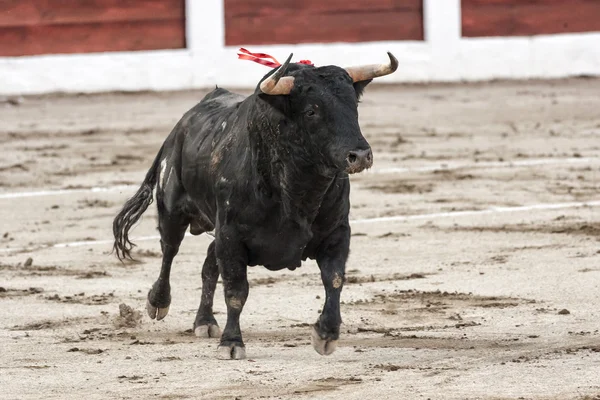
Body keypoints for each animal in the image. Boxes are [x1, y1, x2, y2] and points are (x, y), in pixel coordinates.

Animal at [113, 53, 398, 360]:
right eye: (311, 111)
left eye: (353, 105)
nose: (360, 155)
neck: (298, 189)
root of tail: (181, 125)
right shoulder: (231, 235)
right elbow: (236, 291)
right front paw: (231, 342)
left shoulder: (337, 232)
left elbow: (334, 279)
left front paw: (326, 334)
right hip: (172, 210)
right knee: (169, 251)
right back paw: (158, 302)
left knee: (208, 265)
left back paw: (205, 321)